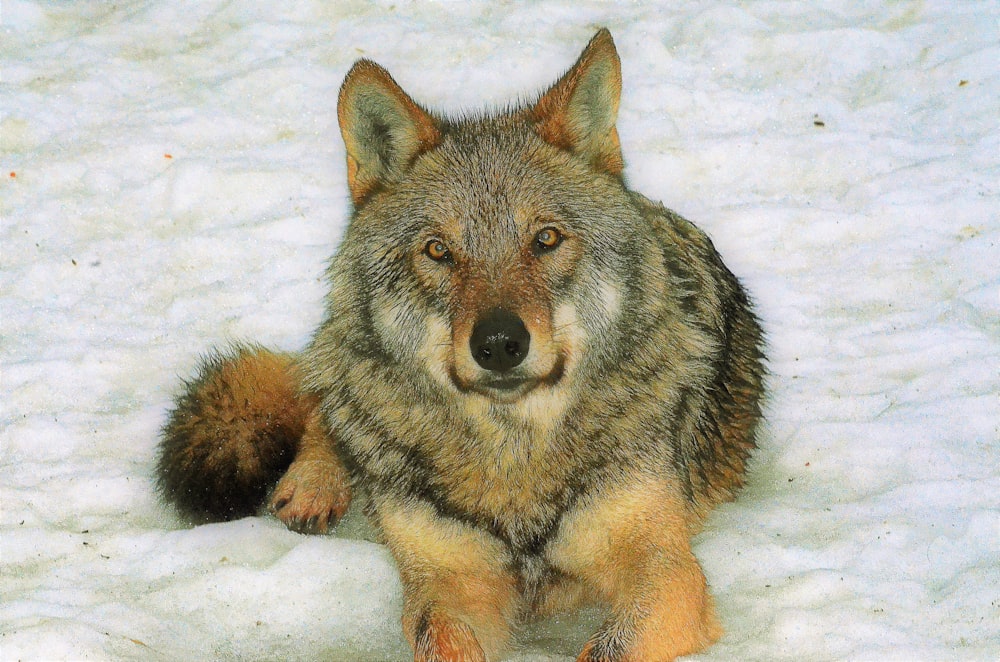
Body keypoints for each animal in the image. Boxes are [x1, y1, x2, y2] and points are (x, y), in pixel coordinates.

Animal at [156, 28, 764, 660]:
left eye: (546, 239)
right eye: (438, 250)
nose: (498, 344)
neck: (514, 458)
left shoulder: (665, 573)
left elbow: (610, 645)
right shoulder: (446, 583)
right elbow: (442, 635)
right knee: (327, 402)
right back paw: (312, 485)